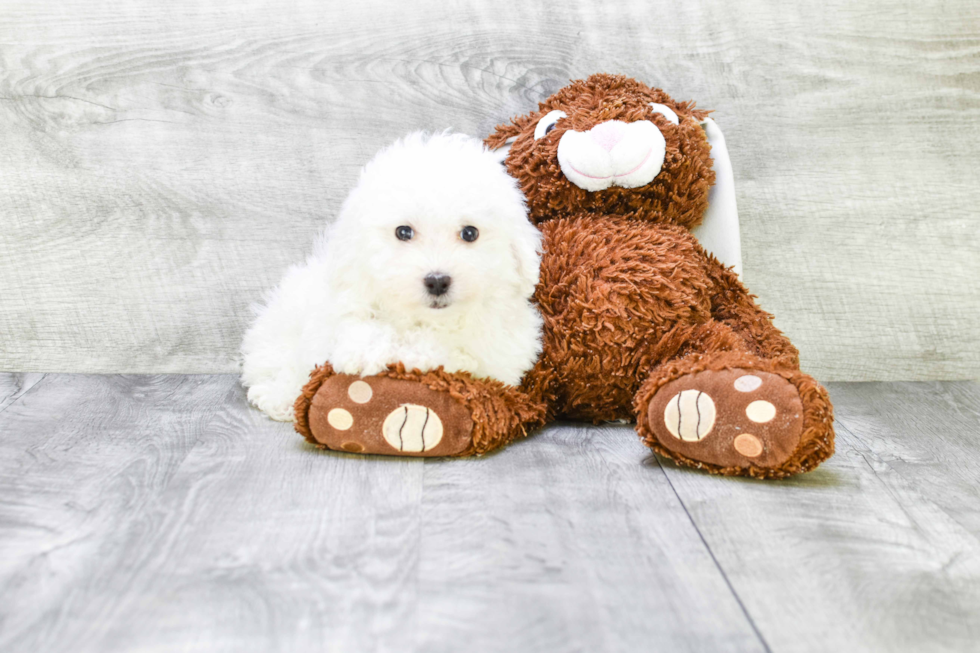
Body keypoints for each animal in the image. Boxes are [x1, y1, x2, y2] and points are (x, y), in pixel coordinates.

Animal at [239, 130, 544, 420]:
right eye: (403, 232)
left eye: (470, 233)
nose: (437, 281)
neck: (426, 321)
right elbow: (353, 332)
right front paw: (364, 352)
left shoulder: (497, 353)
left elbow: (448, 351)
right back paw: (278, 397)